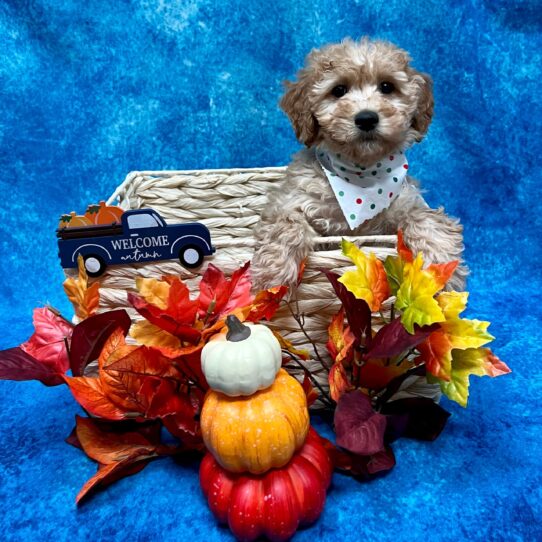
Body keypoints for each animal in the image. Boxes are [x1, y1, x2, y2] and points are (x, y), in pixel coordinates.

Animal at [253, 38, 470, 296]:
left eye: (387, 86)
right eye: (338, 90)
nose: (366, 118)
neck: (361, 174)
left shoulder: (407, 202)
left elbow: (426, 217)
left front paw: (443, 265)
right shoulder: (289, 201)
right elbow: (286, 224)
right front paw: (274, 273)